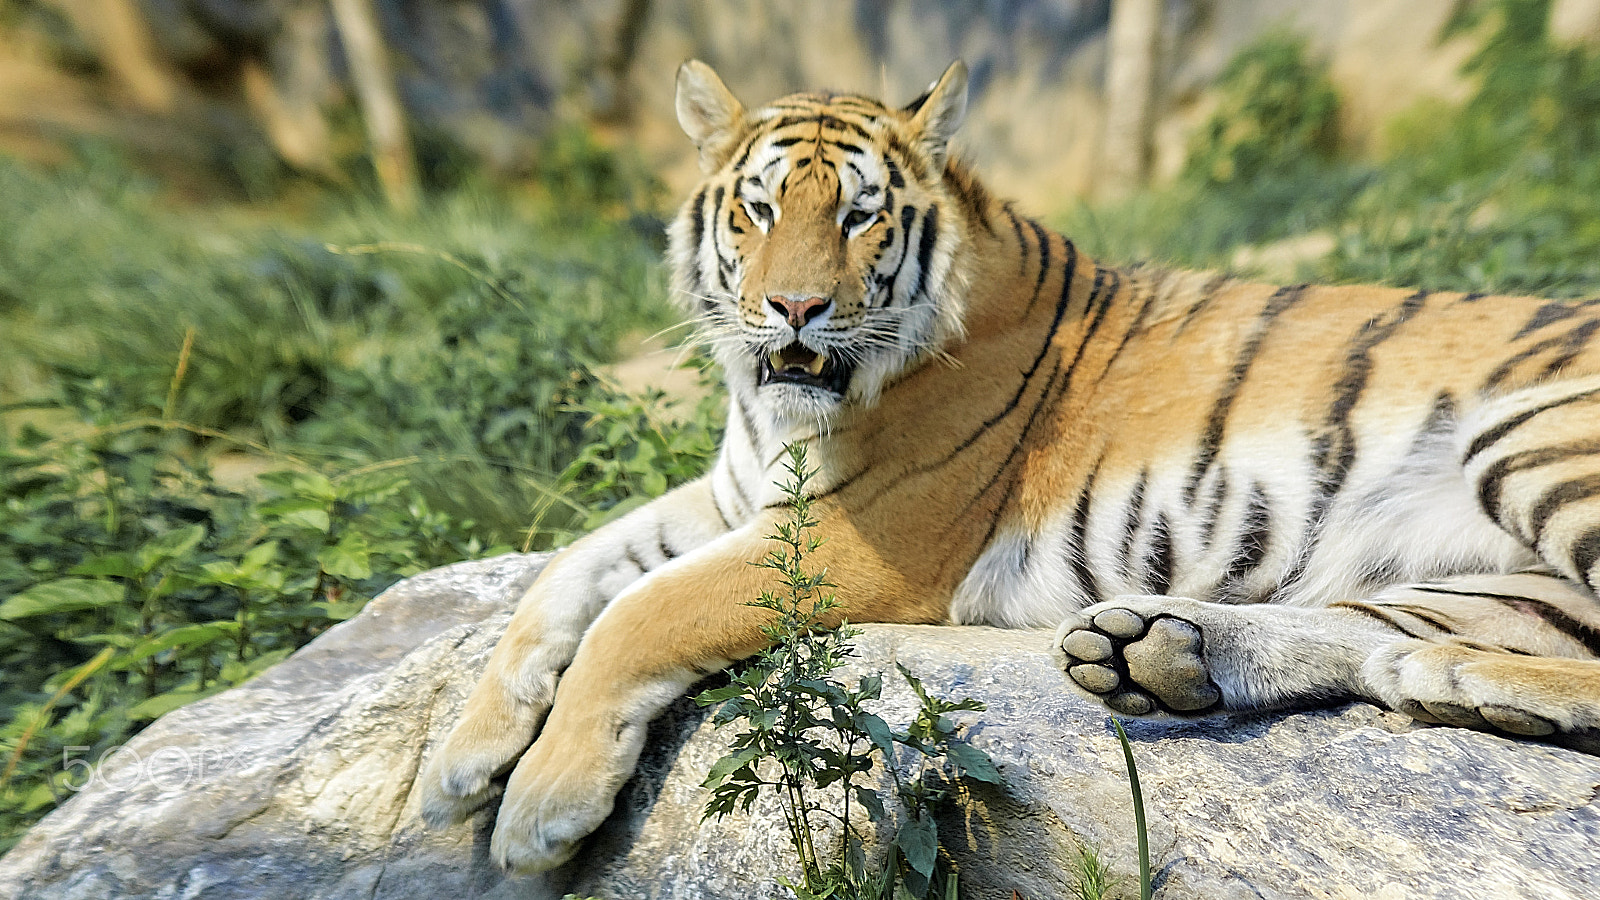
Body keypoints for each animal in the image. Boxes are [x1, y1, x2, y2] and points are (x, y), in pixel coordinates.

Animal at [417, 59, 1600, 872]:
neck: (774, 409)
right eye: (759, 209)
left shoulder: (857, 544)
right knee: (1395, 633)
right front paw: (458, 768)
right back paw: (1187, 655)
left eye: (860, 215)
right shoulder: (735, 495)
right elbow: (566, 571)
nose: (794, 308)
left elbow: (641, 613)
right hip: (1487, 578)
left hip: (1531, 439)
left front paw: (538, 813)